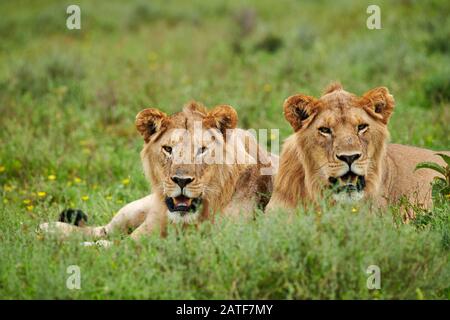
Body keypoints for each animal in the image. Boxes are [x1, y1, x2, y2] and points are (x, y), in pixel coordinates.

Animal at [39, 102, 278, 242]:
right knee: (103, 229)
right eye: (168, 149)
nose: (181, 180)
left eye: (202, 150)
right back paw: (49, 228)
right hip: (133, 210)